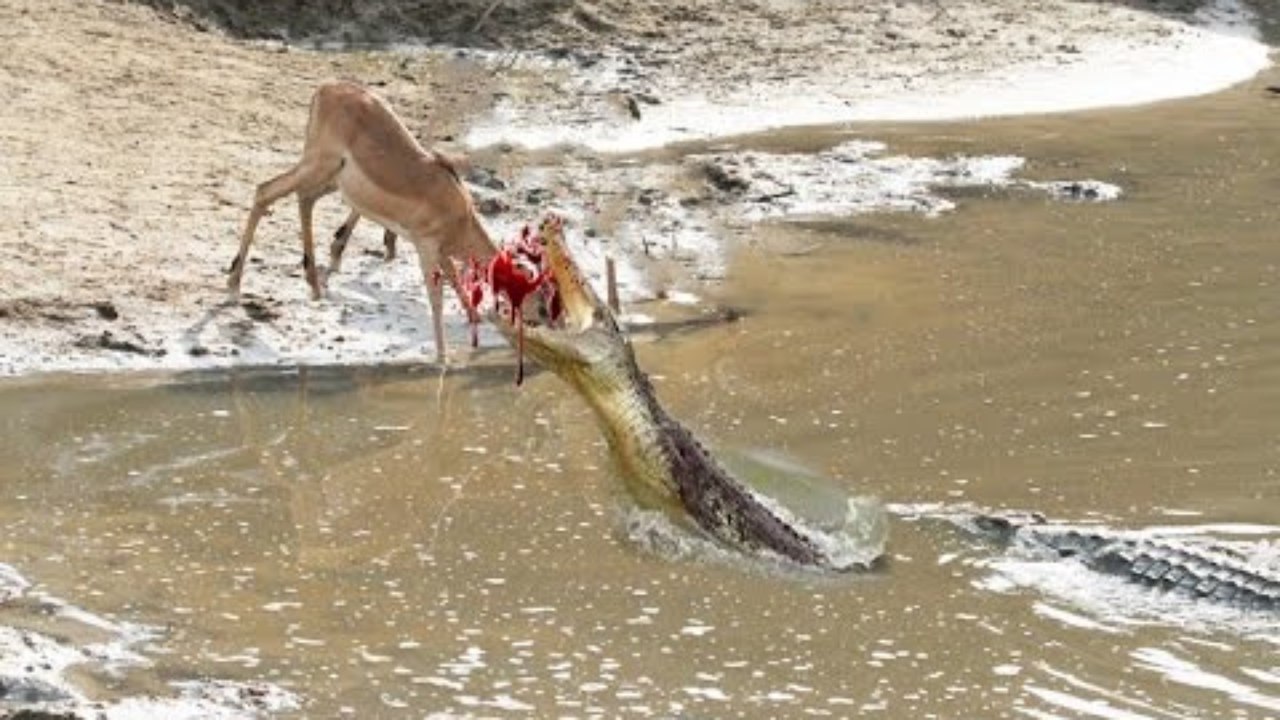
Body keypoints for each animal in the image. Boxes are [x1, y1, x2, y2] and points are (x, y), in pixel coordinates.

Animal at [227, 80, 497, 365]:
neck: (460, 212)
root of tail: (327, 87)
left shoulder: (441, 252)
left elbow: (454, 278)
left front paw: (474, 318)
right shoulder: (426, 247)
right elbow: (436, 296)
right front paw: (443, 357)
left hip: (328, 177)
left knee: (303, 198)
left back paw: (314, 284)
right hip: (318, 167)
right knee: (266, 190)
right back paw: (235, 285)